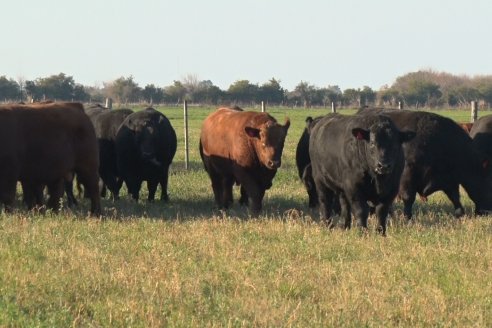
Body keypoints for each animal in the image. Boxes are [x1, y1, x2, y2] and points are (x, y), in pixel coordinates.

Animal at [358, 109, 492, 219]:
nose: (488, 212)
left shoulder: (449, 179)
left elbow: (455, 198)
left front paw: (460, 215)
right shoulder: (407, 174)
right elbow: (408, 197)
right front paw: (407, 218)